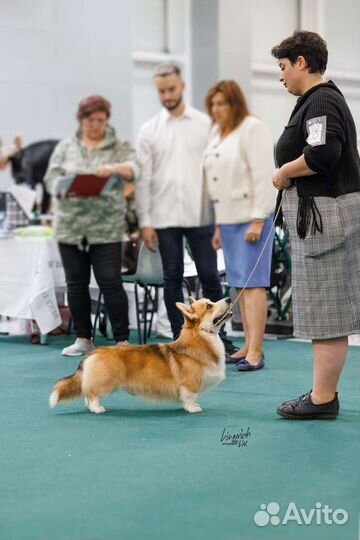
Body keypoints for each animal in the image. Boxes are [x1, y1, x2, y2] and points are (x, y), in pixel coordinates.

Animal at [49, 298, 232, 416]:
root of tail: (92, 353)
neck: (199, 338)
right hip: (105, 382)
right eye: (209, 305)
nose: (229, 299)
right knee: (93, 394)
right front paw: (193, 408)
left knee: (87, 394)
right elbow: (190, 398)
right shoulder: (189, 385)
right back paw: (97, 409)